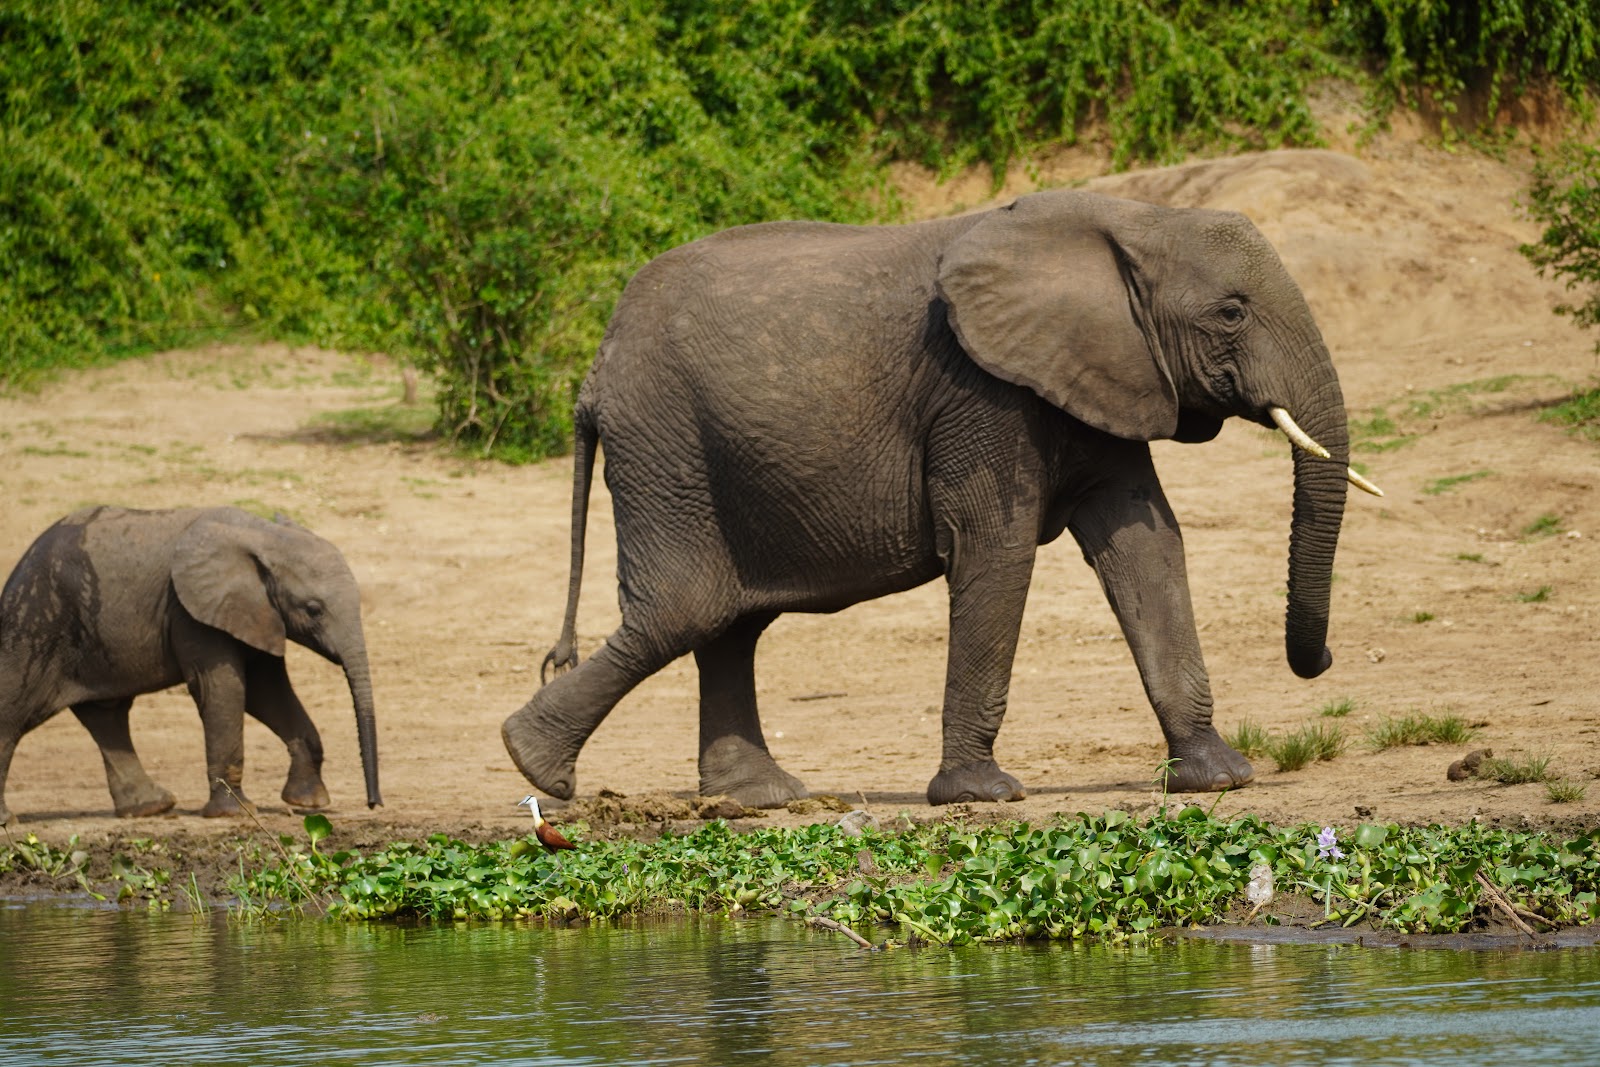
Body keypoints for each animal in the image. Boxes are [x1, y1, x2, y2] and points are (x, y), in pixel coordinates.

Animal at [0, 505, 382, 825]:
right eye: (314, 610)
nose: (374, 804)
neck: (262, 535)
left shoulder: (257, 612)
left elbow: (266, 691)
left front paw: (308, 803)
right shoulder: (191, 612)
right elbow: (224, 689)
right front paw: (234, 813)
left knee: (106, 715)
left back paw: (151, 808)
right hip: (35, 621)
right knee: (14, 712)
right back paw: (8, 822)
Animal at [502, 188, 1378, 809]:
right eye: (1231, 311)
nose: (1326, 660)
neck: (1133, 218)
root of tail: (594, 370)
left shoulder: (1098, 375)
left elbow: (1147, 545)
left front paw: (1221, 776)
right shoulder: (979, 395)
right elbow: (996, 552)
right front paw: (981, 795)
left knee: (726, 621)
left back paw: (760, 799)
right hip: (667, 447)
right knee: (685, 611)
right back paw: (534, 767)